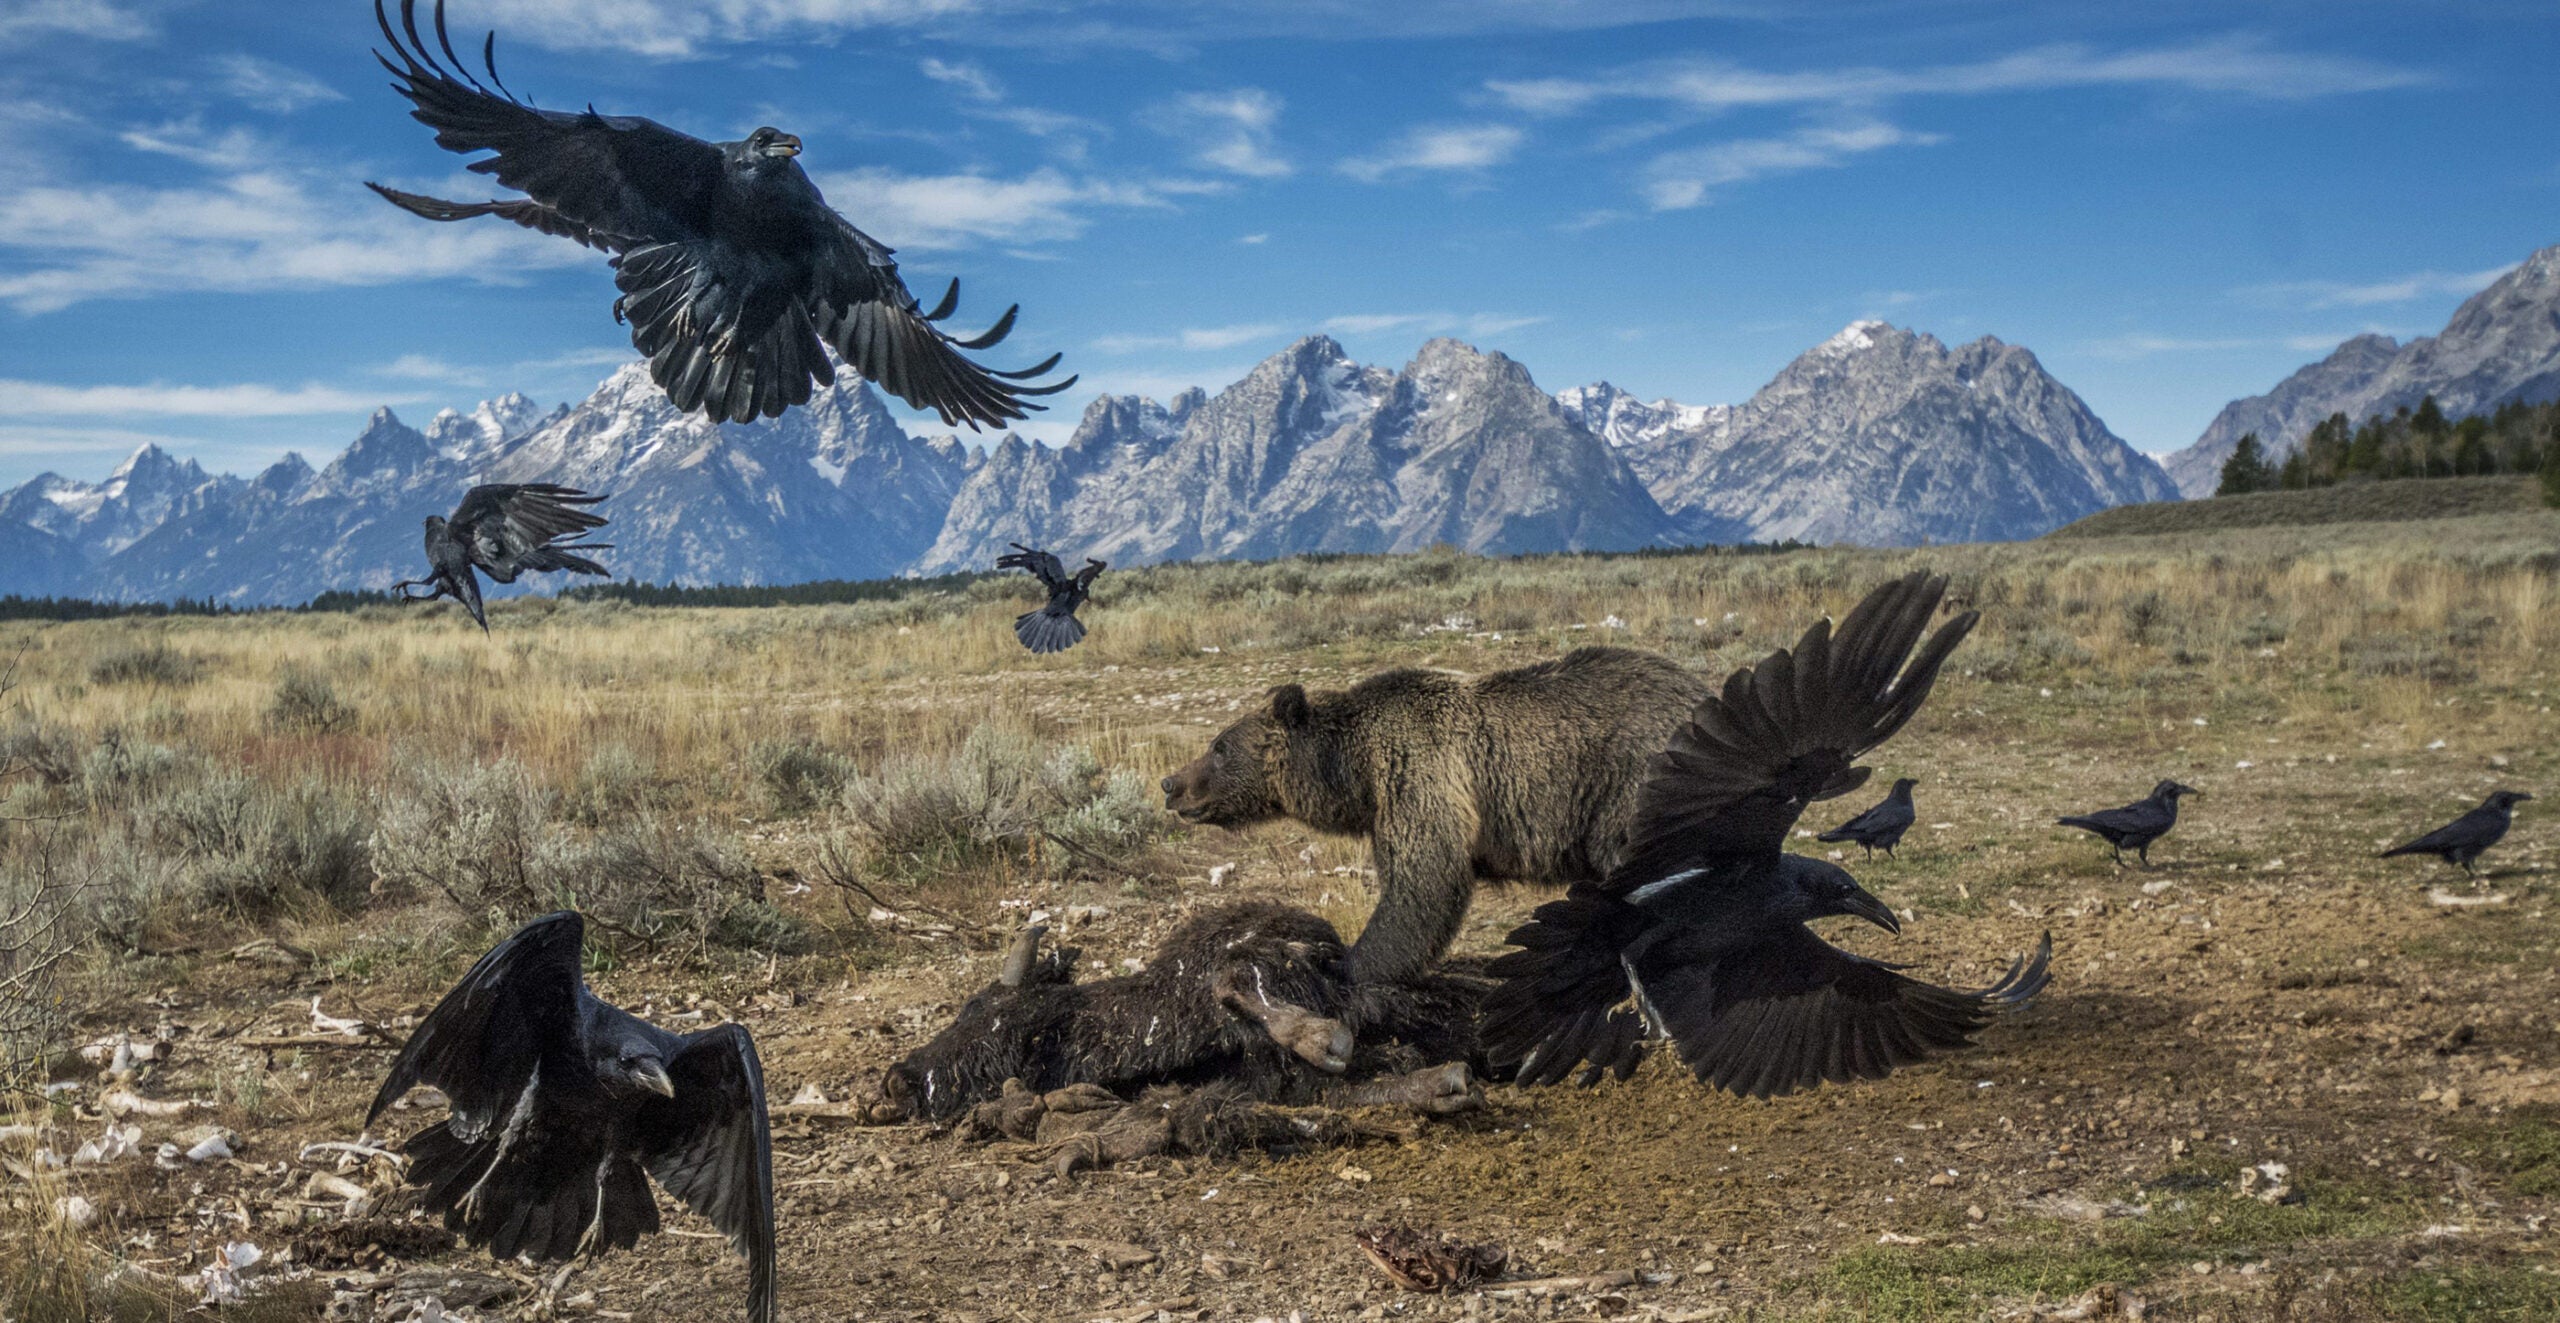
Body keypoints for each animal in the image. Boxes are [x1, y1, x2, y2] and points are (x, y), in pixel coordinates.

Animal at [1157, 644, 1699, 982]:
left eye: (1220, 746)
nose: (1170, 785)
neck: (1353, 769)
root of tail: (1700, 692)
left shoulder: (1416, 772)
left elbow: (1423, 879)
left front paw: (1343, 961)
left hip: (1631, 781)